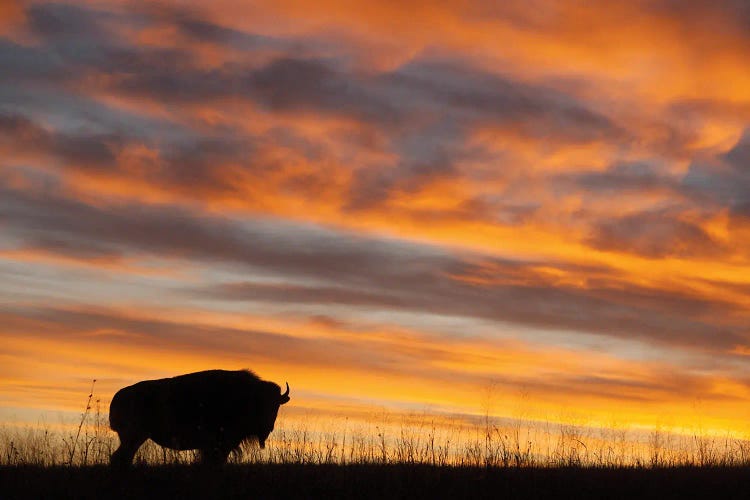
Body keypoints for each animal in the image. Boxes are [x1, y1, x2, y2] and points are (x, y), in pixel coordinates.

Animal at [108, 370, 290, 466]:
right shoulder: (217, 443)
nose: (269, 426)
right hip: (134, 436)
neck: (247, 395)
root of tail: (118, 397)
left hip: (135, 438)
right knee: (120, 458)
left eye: (276, 405)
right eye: (262, 403)